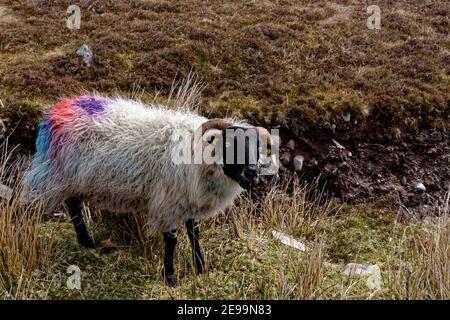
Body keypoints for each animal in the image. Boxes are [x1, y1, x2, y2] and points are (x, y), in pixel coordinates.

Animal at [23, 95, 278, 284]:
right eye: (228, 144)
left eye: (258, 147)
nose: (252, 175)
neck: (199, 156)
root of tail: (58, 111)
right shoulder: (167, 201)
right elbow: (172, 239)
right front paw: (170, 277)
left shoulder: (188, 198)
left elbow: (194, 233)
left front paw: (200, 267)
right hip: (59, 173)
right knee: (66, 203)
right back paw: (79, 240)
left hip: (75, 177)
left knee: (74, 202)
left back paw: (87, 241)